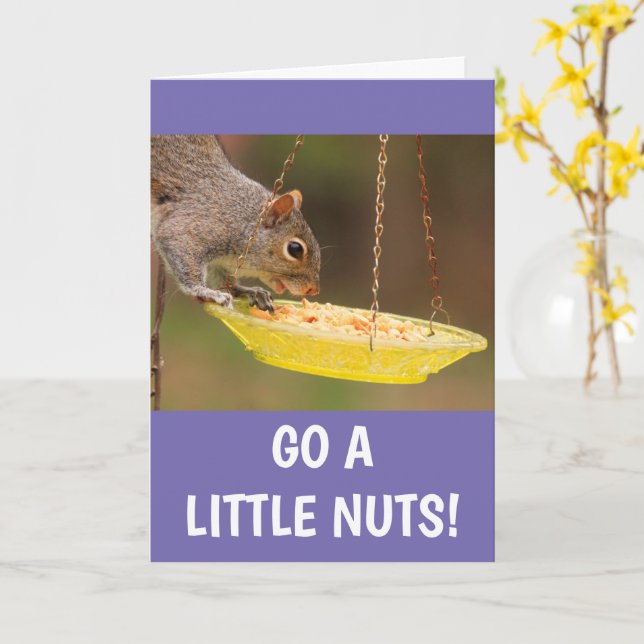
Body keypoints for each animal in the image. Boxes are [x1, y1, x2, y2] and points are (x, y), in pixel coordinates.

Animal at [151, 135, 320, 312]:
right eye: (295, 249)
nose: (313, 290)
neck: (241, 217)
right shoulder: (194, 226)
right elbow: (177, 243)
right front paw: (205, 291)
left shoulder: (220, 262)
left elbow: (222, 278)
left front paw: (248, 291)